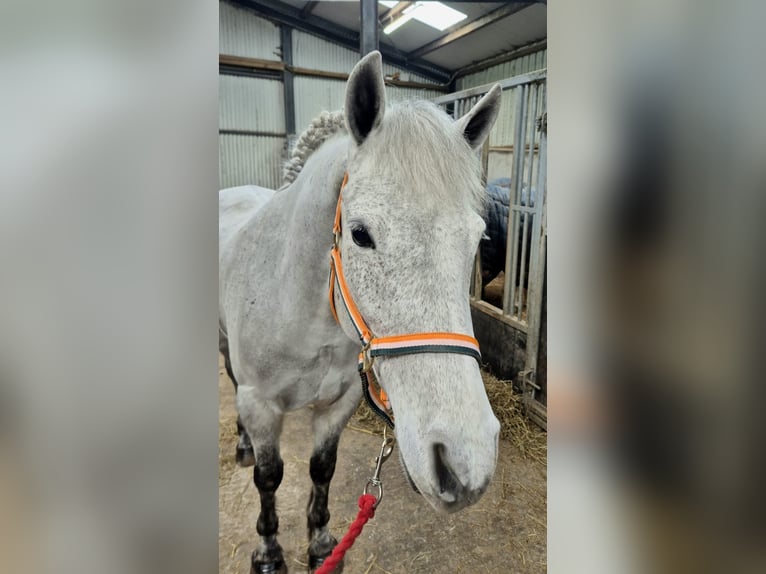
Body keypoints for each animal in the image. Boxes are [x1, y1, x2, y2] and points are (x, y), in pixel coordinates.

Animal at [219, 51, 502, 574]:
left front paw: (322, 544)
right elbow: (270, 477)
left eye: (478, 237)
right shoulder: (261, 404)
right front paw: (268, 553)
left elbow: (321, 469)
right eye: (360, 234)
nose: (464, 461)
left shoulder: (340, 403)